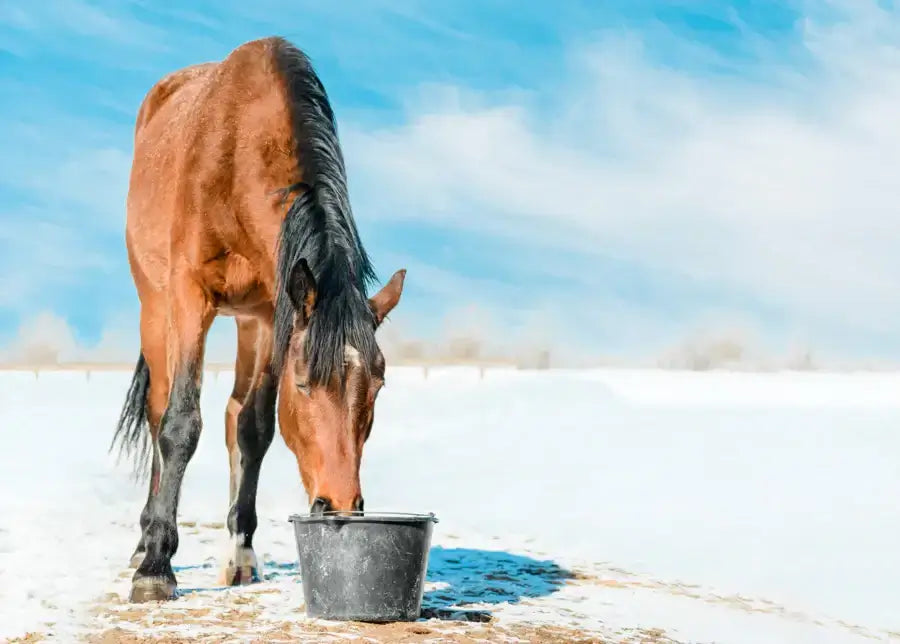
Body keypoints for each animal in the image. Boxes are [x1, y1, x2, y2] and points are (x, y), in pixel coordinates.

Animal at [110, 36, 406, 603]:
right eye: (305, 383)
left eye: (378, 387)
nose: (339, 506)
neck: (237, 158)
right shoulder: (189, 298)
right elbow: (180, 423)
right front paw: (156, 569)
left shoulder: (274, 312)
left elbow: (254, 430)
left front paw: (242, 555)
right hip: (154, 306)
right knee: (160, 409)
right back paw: (142, 545)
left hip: (246, 320)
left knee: (234, 416)